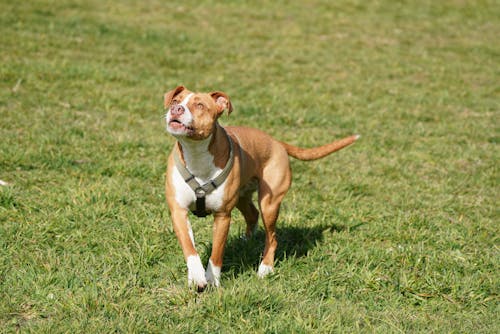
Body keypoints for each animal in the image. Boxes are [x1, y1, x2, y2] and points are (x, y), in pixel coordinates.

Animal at [165, 85, 360, 290]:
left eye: (200, 105)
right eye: (175, 101)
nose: (176, 109)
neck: (196, 154)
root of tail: (277, 142)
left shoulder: (222, 215)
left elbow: (216, 254)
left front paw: (212, 280)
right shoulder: (178, 211)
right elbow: (189, 248)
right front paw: (196, 277)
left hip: (269, 203)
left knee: (272, 237)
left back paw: (265, 268)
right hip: (242, 196)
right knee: (252, 214)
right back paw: (246, 241)